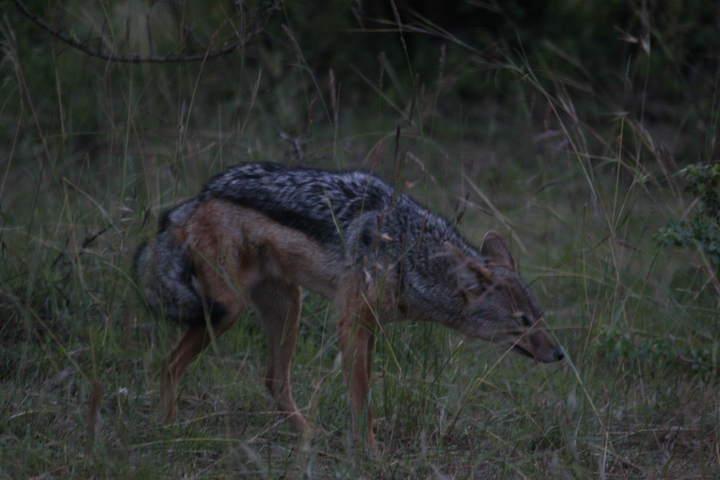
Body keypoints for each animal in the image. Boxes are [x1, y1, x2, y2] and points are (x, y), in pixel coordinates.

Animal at [134, 161, 564, 448]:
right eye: (522, 320)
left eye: (539, 317)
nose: (560, 354)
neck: (408, 255)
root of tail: (196, 198)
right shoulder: (353, 325)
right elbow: (362, 401)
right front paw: (371, 453)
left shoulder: (370, 327)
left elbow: (362, 396)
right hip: (226, 309)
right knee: (168, 365)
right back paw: (171, 428)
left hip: (287, 308)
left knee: (273, 380)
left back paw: (308, 436)